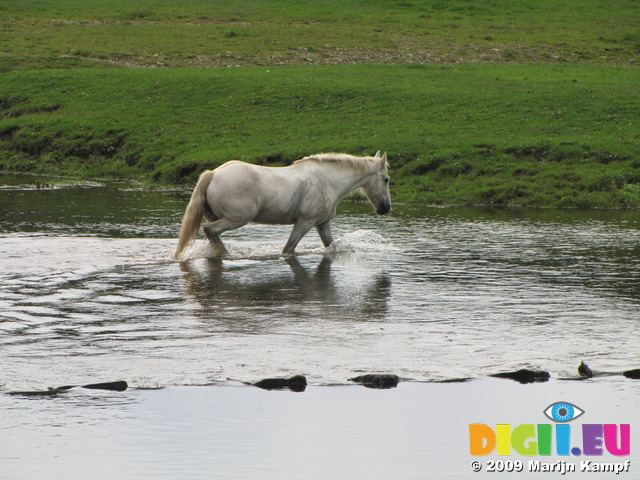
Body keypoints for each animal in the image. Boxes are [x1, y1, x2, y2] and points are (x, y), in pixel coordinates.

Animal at [174, 153, 390, 258]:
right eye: (386, 179)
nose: (386, 208)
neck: (327, 180)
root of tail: (214, 173)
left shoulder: (322, 224)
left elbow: (332, 246)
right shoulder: (304, 222)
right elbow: (288, 249)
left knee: (213, 235)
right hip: (236, 219)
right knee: (210, 230)